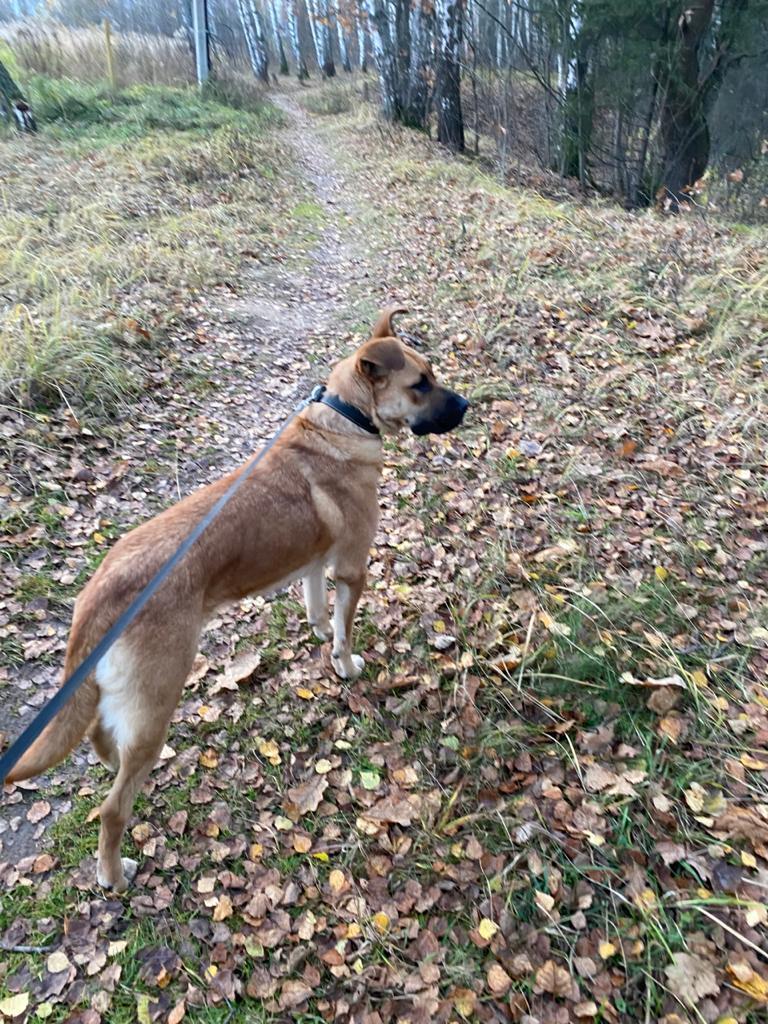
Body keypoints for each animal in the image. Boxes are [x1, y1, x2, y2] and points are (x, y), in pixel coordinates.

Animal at [3, 305, 468, 888]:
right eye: (419, 384)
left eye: (431, 374)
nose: (466, 406)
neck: (343, 418)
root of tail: (101, 590)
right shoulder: (352, 569)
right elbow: (343, 632)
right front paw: (345, 665)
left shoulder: (314, 564)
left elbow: (317, 609)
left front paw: (318, 633)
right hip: (158, 699)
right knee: (111, 808)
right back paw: (114, 874)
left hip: (125, 702)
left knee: (103, 742)